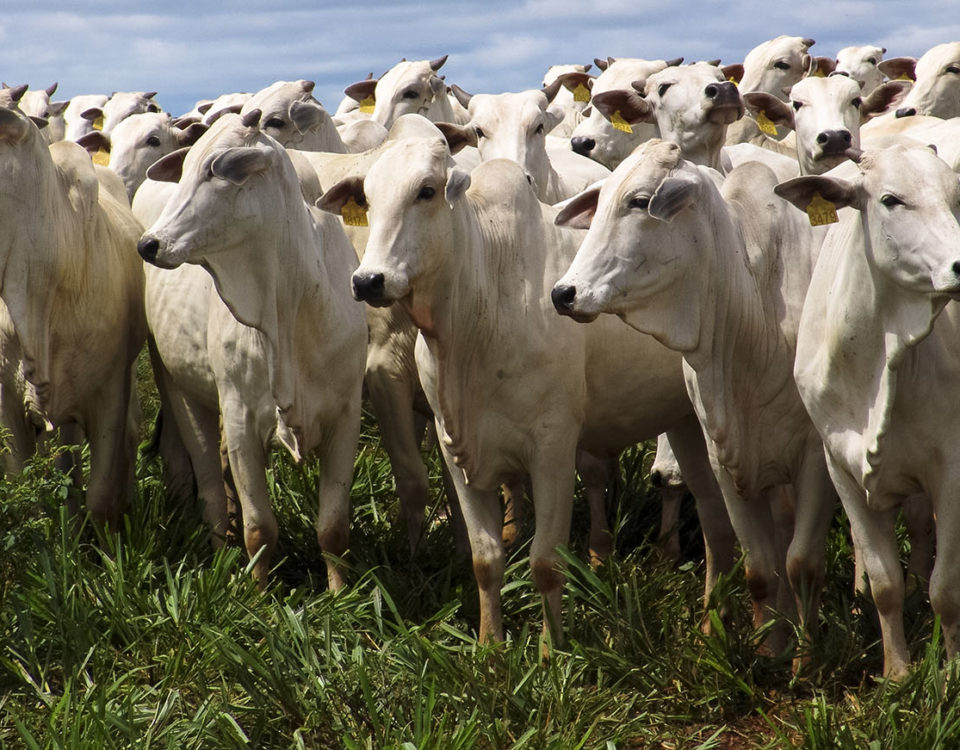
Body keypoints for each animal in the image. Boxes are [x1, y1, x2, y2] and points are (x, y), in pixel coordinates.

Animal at [139, 113, 368, 592]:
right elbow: (259, 527)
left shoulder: (345, 415)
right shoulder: (242, 416)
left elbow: (333, 528)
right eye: (186, 168)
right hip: (179, 389)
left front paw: (340, 593)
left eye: (217, 168)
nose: (150, 244)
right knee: (209, 486)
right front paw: (259, 596)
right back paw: (220, 553)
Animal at [322, 137, 736, 652]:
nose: (368, 280)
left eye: (426, 191)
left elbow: (545, 562)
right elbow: (485, 559)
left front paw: (550, 651)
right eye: (369, 199)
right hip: (683, 422)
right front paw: (490, 646)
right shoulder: (457, 453)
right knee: (712, 520)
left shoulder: (552, 451)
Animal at [556, 141, 840, 656]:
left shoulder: (816, 457)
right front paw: (769, 650)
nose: (563, 293)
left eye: (638, 201)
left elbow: (802, 563)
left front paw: (804, 659)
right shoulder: (724, 453)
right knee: (729, 528)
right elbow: (760, 568)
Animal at [776, 145, 960, 680]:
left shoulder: (952, 468)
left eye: (955, 194)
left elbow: (946, 589)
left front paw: (951, 672)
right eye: (891, 199)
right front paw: (897, 672)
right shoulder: (841, 468)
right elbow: (885, 584)